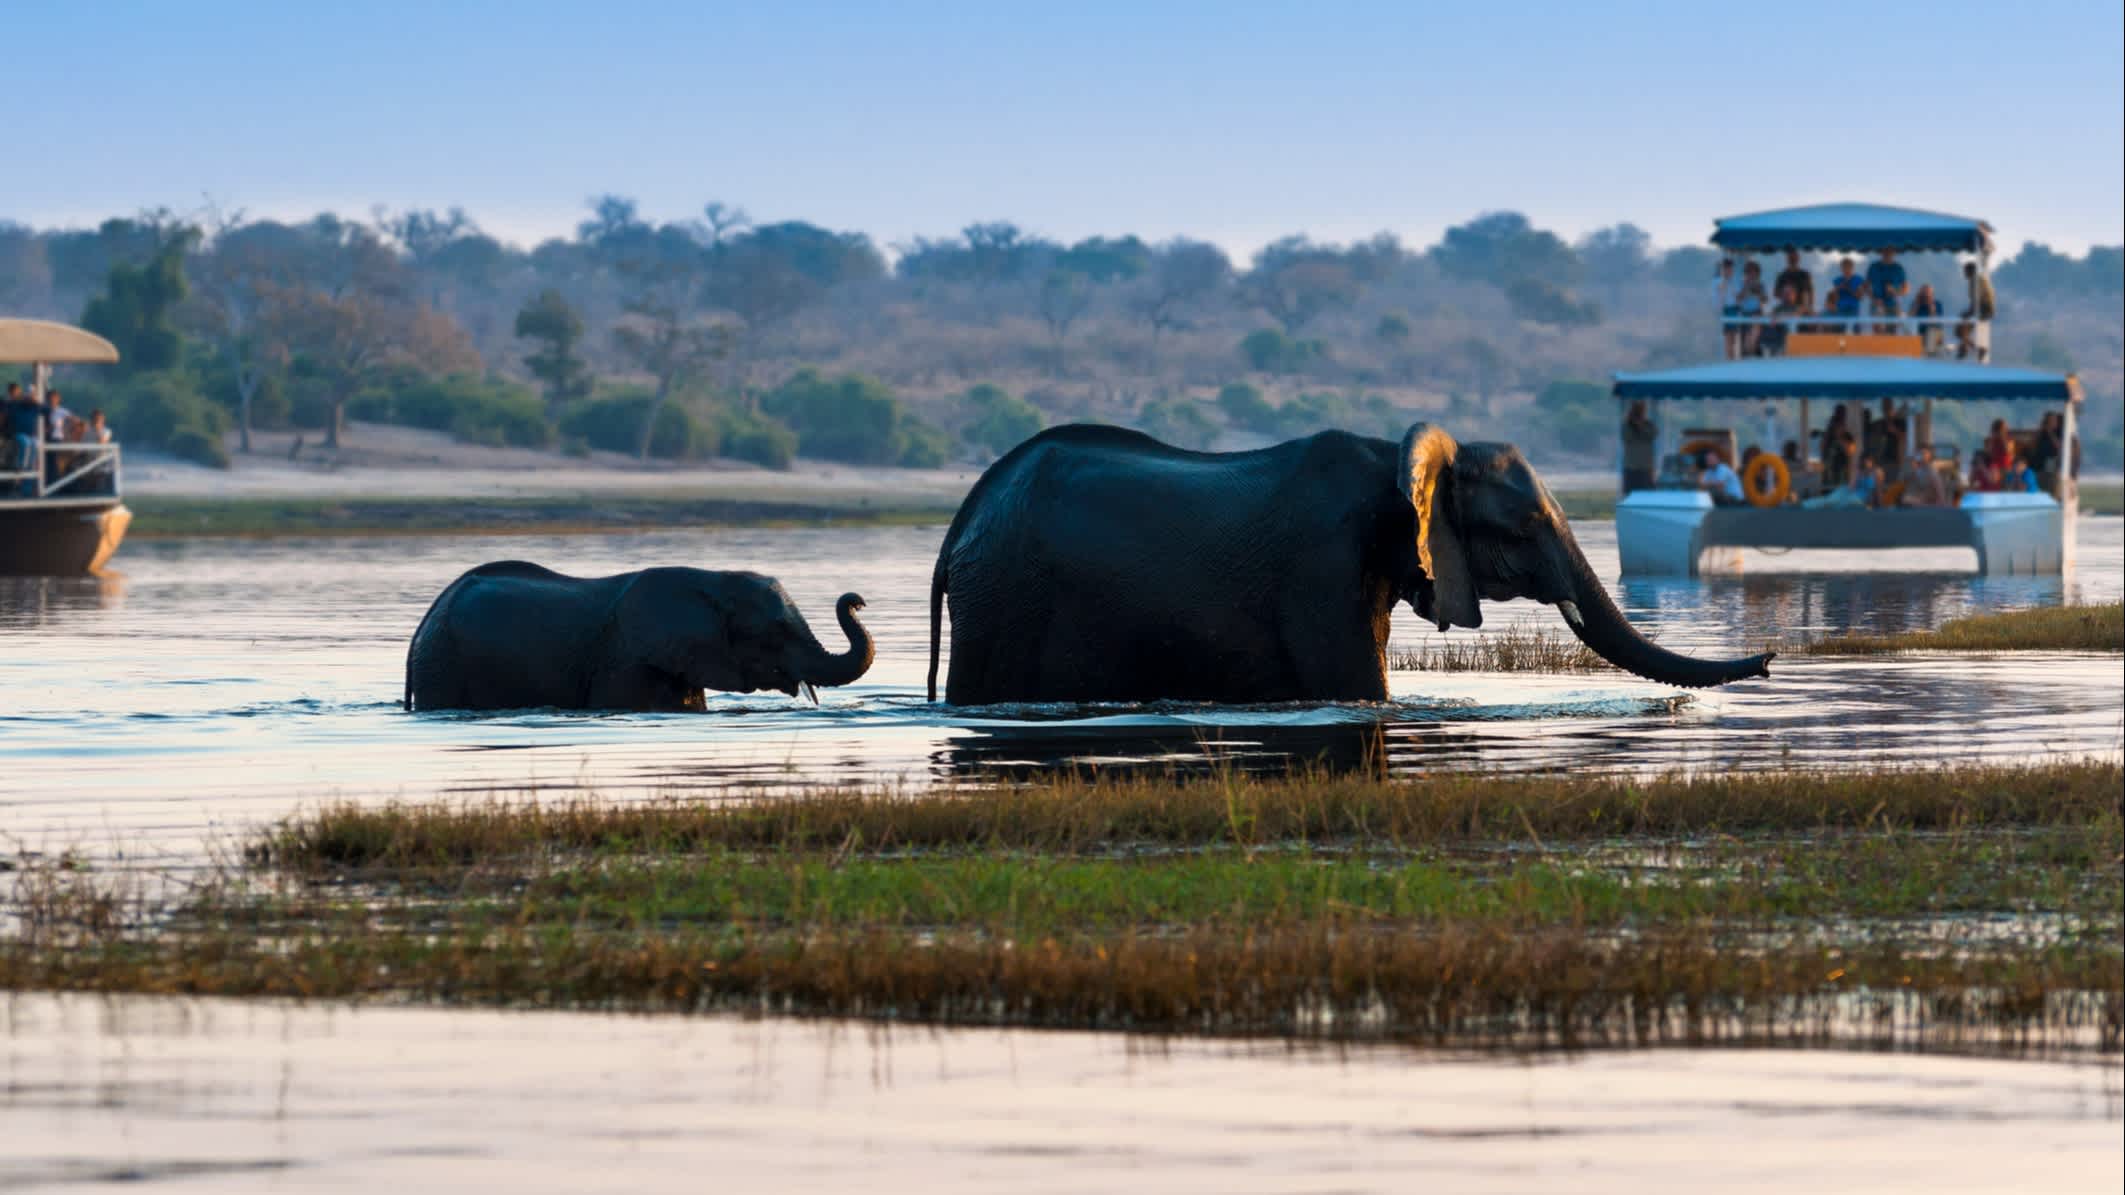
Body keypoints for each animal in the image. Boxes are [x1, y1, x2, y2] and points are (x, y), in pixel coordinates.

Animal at [930, 418, 1776, 701]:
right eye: (1528, 522)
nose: (1769, 659)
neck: (1395, 459)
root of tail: (966, 513)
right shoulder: (1320, 564)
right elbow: (1359, 689)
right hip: (1005, 597)